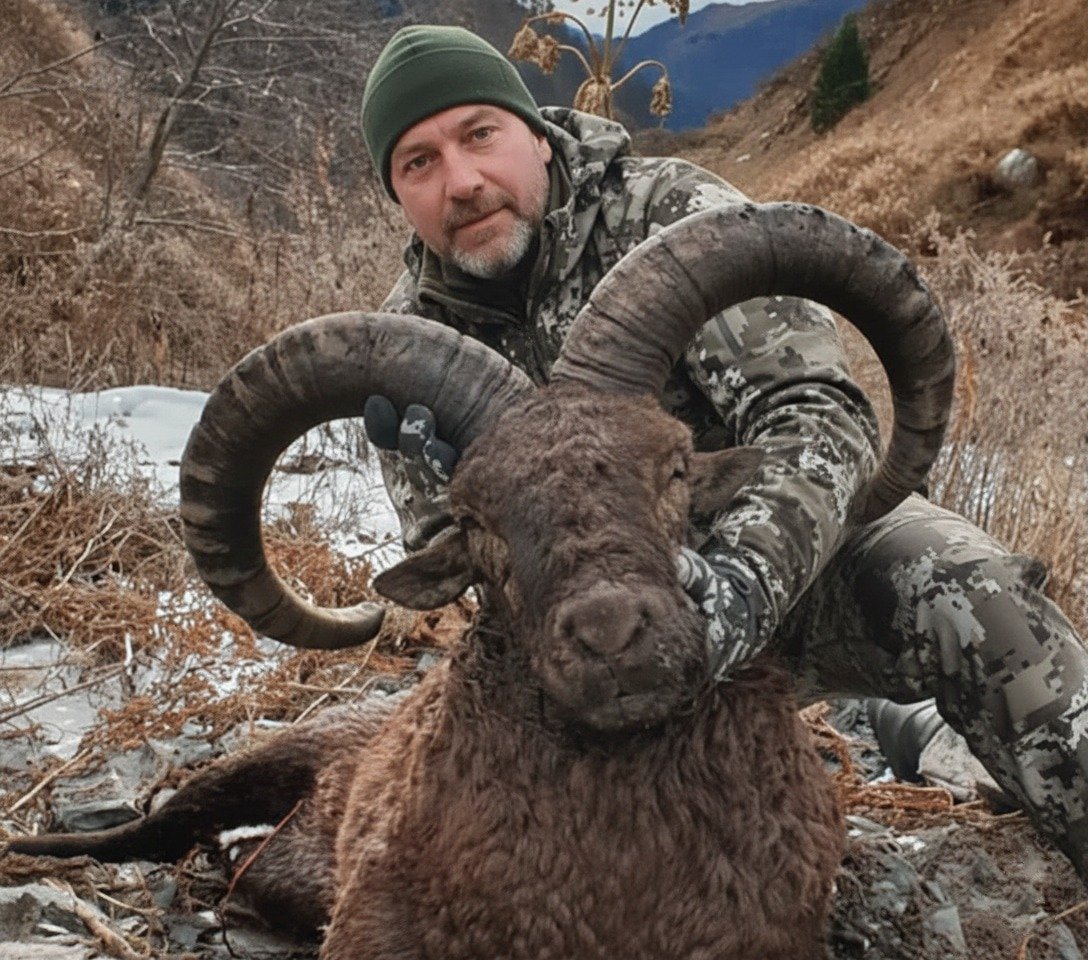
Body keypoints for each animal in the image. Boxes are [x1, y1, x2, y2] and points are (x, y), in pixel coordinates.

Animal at [5, 204, 955, 960]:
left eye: (676, 465)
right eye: (473, 517)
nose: (613, 633)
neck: (616, 869)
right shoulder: (380, 923)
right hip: (262, 758)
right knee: (155, 828)